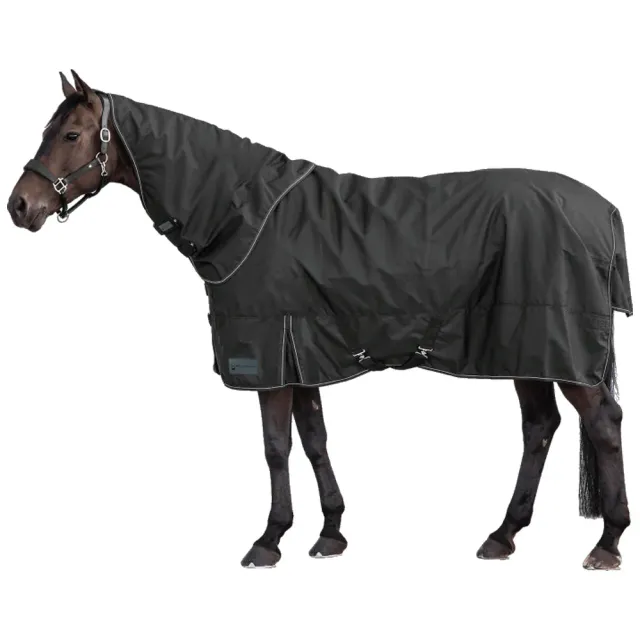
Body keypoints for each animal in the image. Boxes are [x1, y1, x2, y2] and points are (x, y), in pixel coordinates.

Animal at [7, 71, 632, 570]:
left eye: (70, 135)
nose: (19, 206)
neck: (242, 211)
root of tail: (602, 210)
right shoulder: (301, 352)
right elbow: (313, 441)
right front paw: (331, 532)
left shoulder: (269, 354)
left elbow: (276, 447)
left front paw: (268, 540)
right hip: (527, 346)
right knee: (540, 427)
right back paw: (502, 536)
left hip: (559, 347)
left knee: (602, 423)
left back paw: (606, 544)